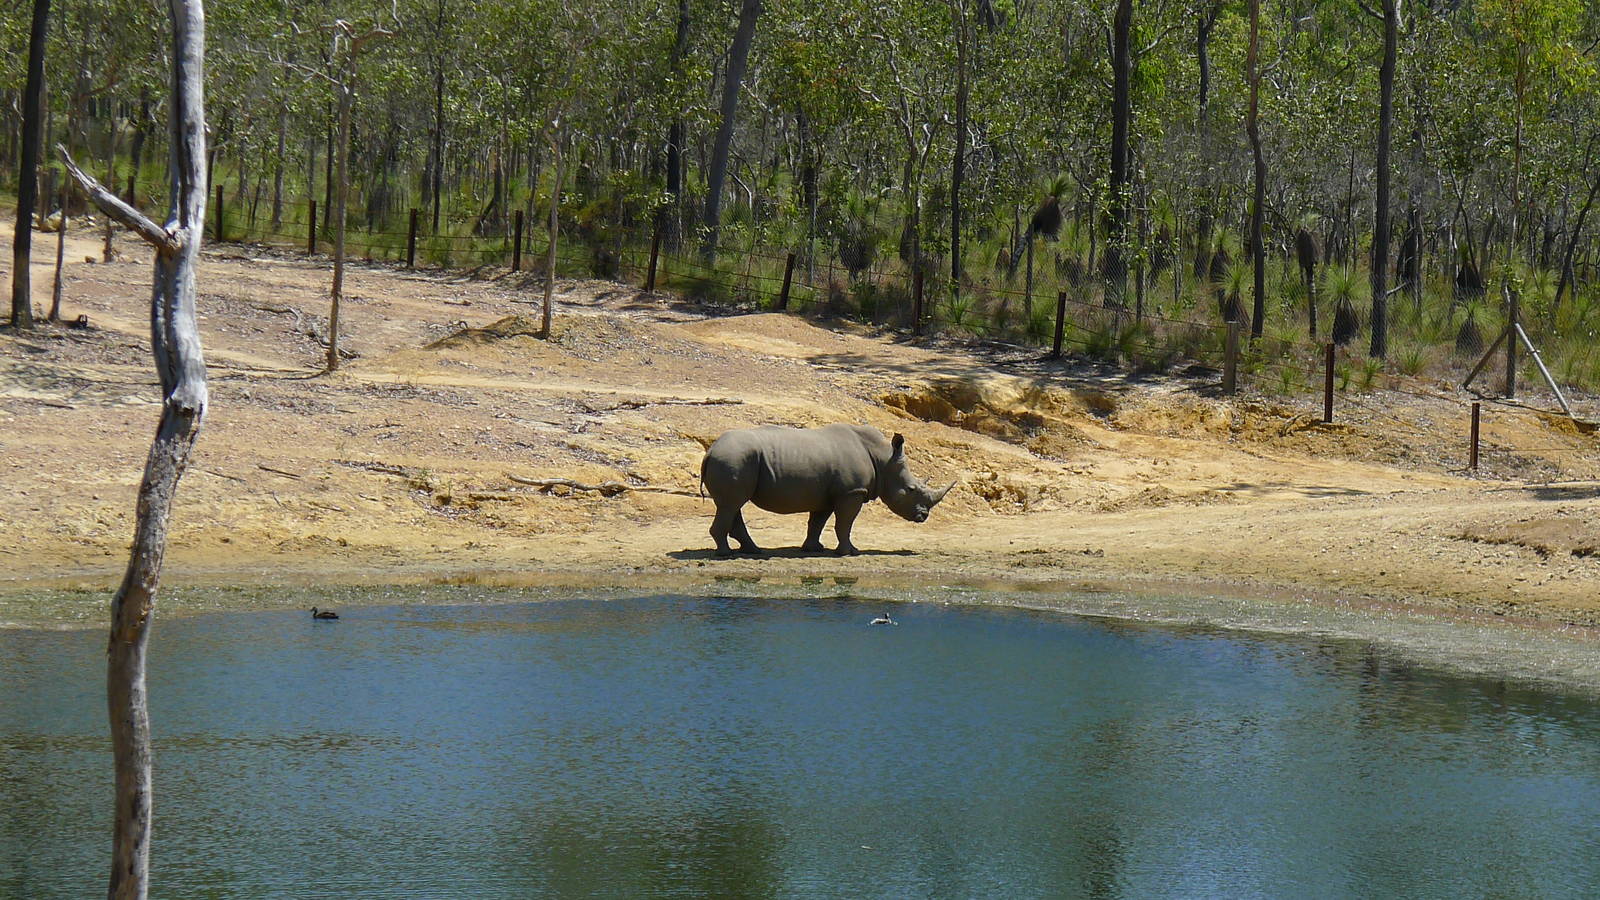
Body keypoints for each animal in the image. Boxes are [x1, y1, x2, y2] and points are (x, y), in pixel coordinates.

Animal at [700, 424, 955, 556]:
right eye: (911, 489)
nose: (923, 516)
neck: (883, 459)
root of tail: (710, 451)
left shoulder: (826, 494)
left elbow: (818, 522)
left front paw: (813, 549)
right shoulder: (852, 492)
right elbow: (845, 523)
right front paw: (851, 552)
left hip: (735, 460)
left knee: (733, 505)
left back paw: (754, 551)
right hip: (733, 459)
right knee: (732, 504)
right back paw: (726, 554)